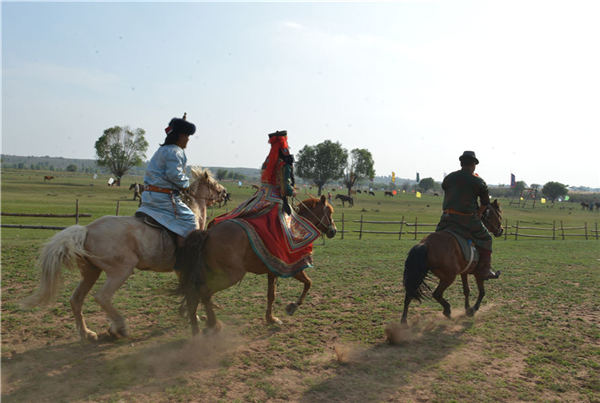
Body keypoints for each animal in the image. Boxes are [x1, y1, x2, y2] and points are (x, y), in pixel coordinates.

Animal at [22, 167, 226, 340]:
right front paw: (196, 315)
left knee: (76, 300)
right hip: (121, 271)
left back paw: (87, 333)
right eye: (213, 184)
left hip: (91, 272)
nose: (225, 193)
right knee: (102, 297)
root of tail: (87, 230)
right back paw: (119, 328)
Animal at [177, 194, 338, 336]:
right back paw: (212, 325)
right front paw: (292, 307)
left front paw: (271, 318)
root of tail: (208, 233)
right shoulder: (294, 267)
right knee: (205, 292)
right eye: (329, 212)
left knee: (195, 291)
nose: (334, 230)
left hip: (209, 272)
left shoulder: (272, 271)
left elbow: (271, 294)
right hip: (230, 275)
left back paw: (196, 326)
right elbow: (308, 283)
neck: (295, 229)